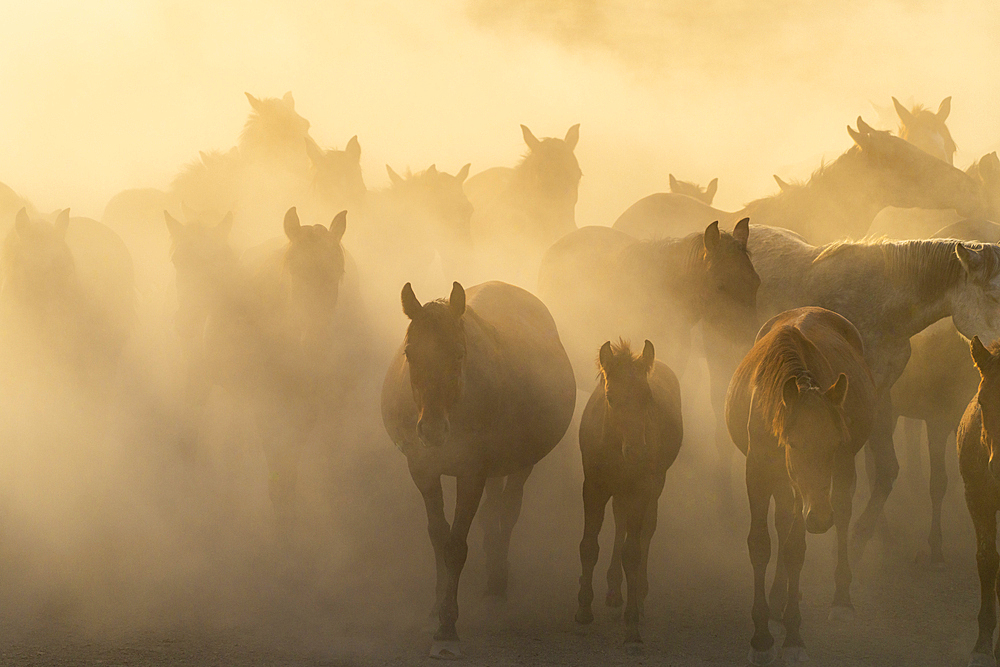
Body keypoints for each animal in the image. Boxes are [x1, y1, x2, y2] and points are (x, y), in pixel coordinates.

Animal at [378, 280, 576, 656]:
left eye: (458, 354)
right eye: (411, 353)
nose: (432, 431)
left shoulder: (471, 474)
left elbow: (456, 546)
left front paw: (447, 625)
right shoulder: (423, 470)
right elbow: (438, 536)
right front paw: (436, 607)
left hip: (520, 464)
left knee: (508, 513)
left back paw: (498, 582)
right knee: (492, 511)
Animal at [576, 340, 684, 648]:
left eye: (647, 396)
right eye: (611, 398)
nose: (637, 452)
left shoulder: (639, 489)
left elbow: (633, 553)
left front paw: (632, 624)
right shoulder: (594, 486)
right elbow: (589, 545)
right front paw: (584, 609)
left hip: (654, 485)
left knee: (646, 531)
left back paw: (640, 597)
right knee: (620, 522)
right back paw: (614, 590)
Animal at [728, 306, 876, 664]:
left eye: (834, 443)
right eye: (793, 443)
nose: (820, 518)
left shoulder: (808, 488)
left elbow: (795, 548)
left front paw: (793, 636)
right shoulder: (758, 473)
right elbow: (761, 544)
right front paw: (761, 637)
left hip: (836, 476)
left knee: (841, 513)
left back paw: (840, 600)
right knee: (782, 525)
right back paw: (777, 599)